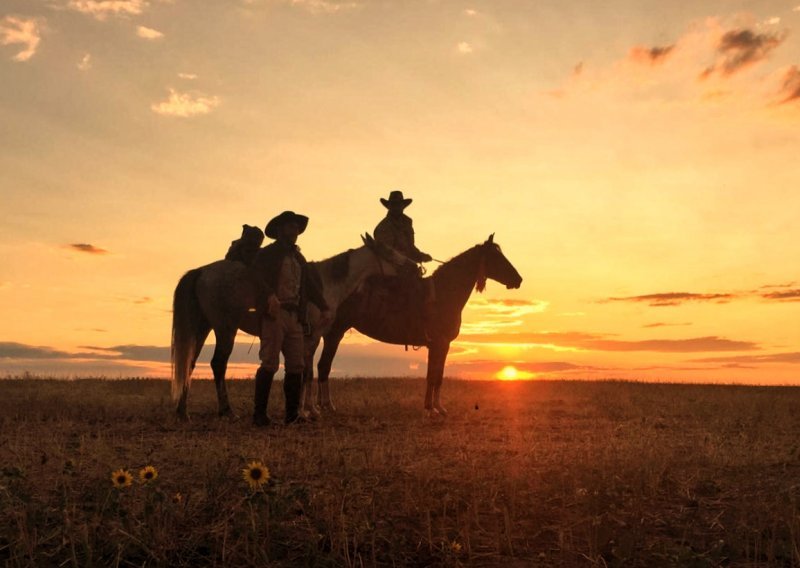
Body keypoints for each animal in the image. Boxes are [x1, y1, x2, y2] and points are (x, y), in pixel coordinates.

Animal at [167, 233, 406, 420]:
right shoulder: (313, 337)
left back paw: (183, 411)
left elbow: (304, 369)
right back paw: (227, 411)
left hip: (202, 328)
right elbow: (308, 372)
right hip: (225, 329)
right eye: (388, 251)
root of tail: (202, 271)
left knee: (189, 363)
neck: (326, 283)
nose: (410, 265)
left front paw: (305, 409)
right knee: (218, 364)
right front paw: (308, 410)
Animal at [304, 233, 520, 414]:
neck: (444, 293)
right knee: (323, 367)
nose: (519, 279)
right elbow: (436, 376)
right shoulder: (441, 344)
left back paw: (321, 405)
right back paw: (326, 405)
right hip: (334, 333)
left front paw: (431, 406)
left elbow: (434, 375)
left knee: (322, 367)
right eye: (497, 257)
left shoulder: (437, 346)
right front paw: (436, 408)